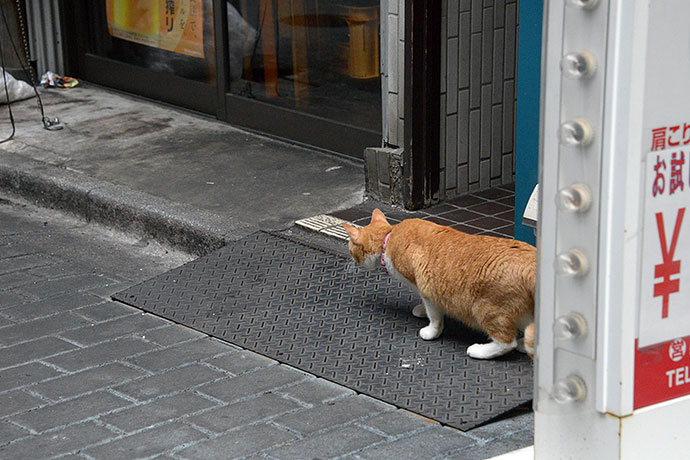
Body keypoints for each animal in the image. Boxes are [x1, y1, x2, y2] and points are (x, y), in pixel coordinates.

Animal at [342, 209, 536, 360]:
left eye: (350, 246)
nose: (349, 257)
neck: (388, 239)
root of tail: (530, 262)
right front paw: (421, 310)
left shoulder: (427, 287)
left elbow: (434, 317)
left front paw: (430, 332)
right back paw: (524, 345)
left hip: (487, 309)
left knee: (507, 342)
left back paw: (480, 351)